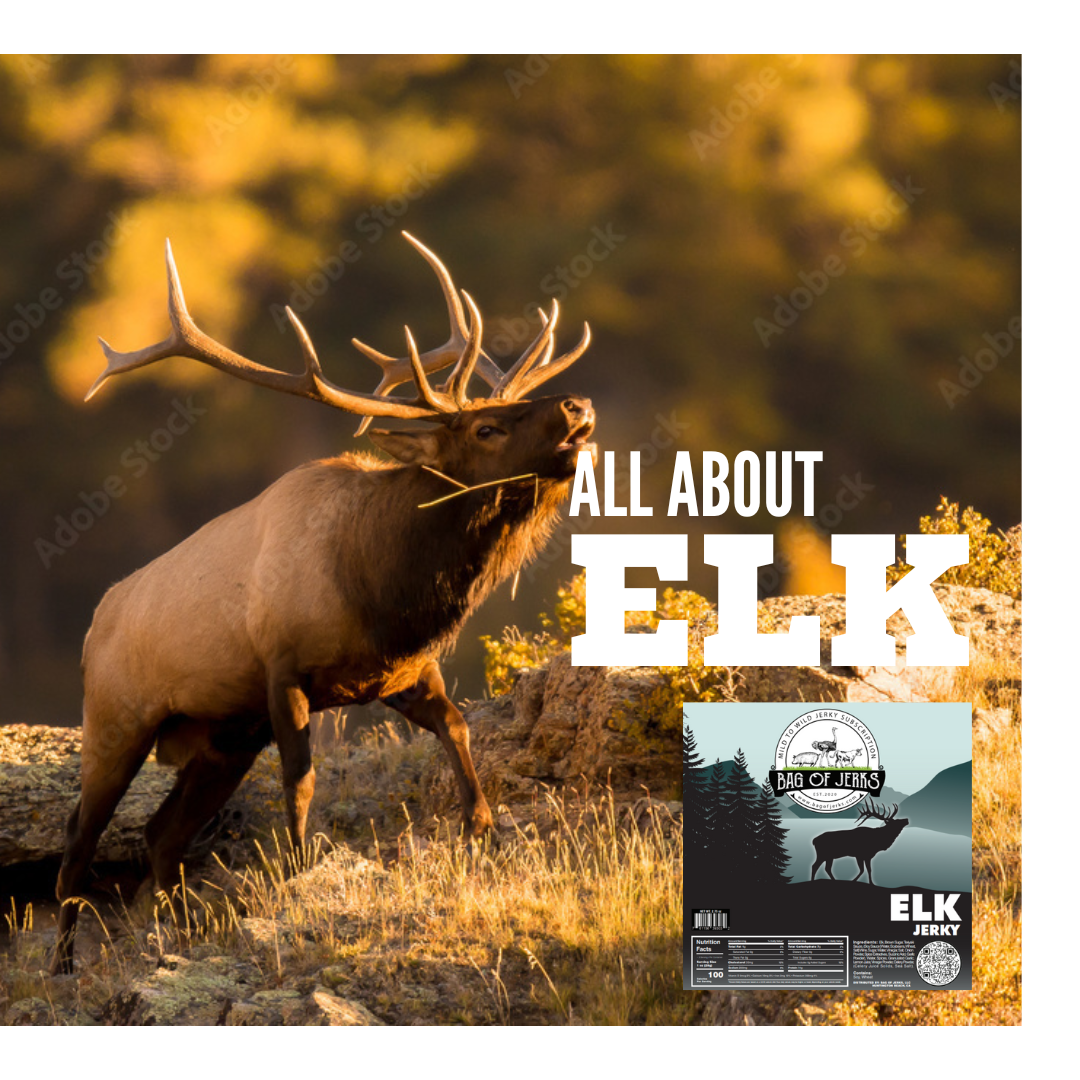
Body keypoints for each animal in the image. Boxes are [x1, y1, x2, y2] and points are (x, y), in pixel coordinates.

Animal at [50, 233, 596, 975]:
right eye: (487, 427)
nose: (576, 406)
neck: (381, 588)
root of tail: (91, 626)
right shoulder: (284, 672)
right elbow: (302, 781)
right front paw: (300, 869)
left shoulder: (403, 672)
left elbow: (458, 730)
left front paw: (481, 832)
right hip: (117, 719)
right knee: (78, 843)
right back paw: (62, 966)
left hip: (222, 735)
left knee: (162, 833)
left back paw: (179, 932)